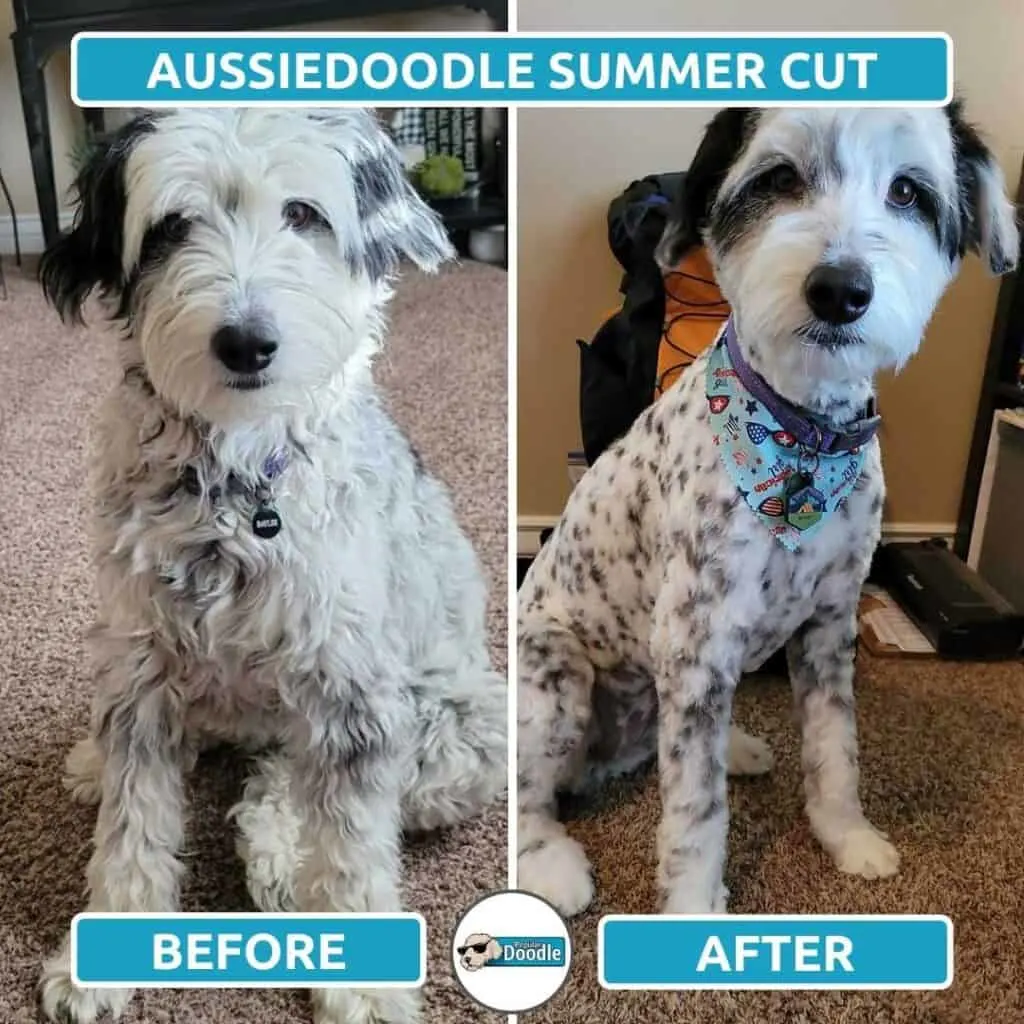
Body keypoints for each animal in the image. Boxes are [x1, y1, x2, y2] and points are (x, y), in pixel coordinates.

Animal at [37, 110, 507, 1024]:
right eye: (170, 227)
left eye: (302, 214)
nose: (246, 343)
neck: (234, 485)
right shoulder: (138, 666)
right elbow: (131, 823)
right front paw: (97, 960)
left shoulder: (352, 689)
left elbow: (354, 849)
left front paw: (363, 987)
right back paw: (95, 763)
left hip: (459, 736)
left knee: (294, 779)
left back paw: (278, 848)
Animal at [520, 103, 1015, 917]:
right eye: (779, 178)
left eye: (908, 191)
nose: (841, 290)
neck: (801, 438)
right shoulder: (696, 644)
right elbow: (696, 811)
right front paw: (694, 907)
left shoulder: (829, 628)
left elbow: (836, 752)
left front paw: (846, 837)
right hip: (558, 680)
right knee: (531, 794)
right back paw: (549, 866)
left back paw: (739, 747)